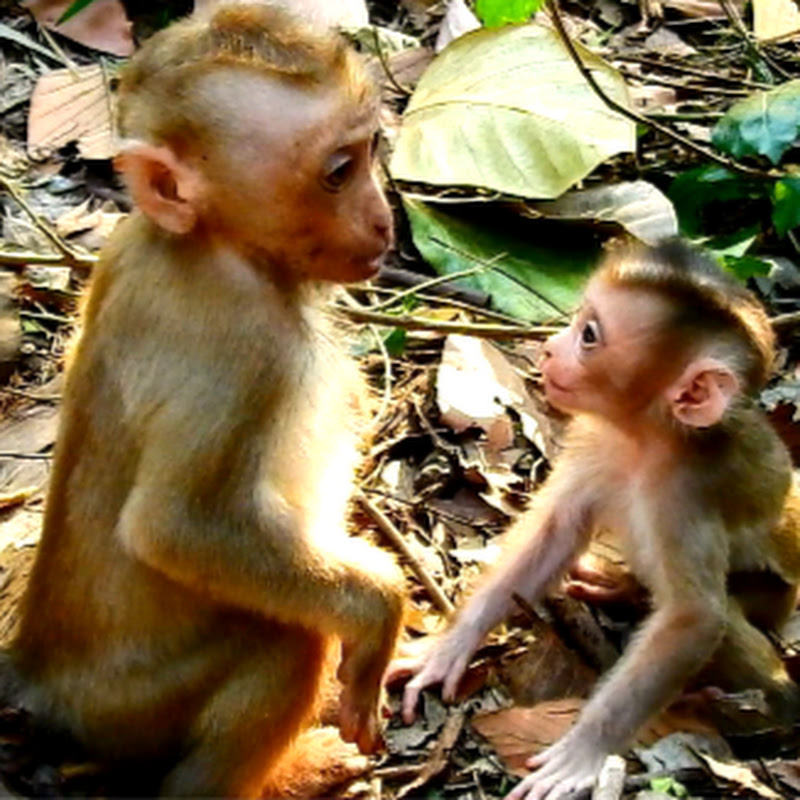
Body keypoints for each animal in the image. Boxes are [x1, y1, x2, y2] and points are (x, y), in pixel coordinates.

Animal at [0, 4, 405, 797]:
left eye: (370, 149)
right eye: (338, 173)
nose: (383, 220)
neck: (210, 245)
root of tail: (34, 676)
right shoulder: (247, 349)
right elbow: (177, 528)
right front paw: (382, 607)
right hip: (130, 713)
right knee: (286, 638)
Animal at [388, 240, 800, 800]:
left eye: (589, 335)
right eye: (580, 320)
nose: (547, 349)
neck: (644, 438)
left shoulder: (684, 496)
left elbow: (695, 620)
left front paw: (583, 749)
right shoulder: (594, 440)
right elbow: (552, 535)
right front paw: (448, 649)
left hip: (774, 599)